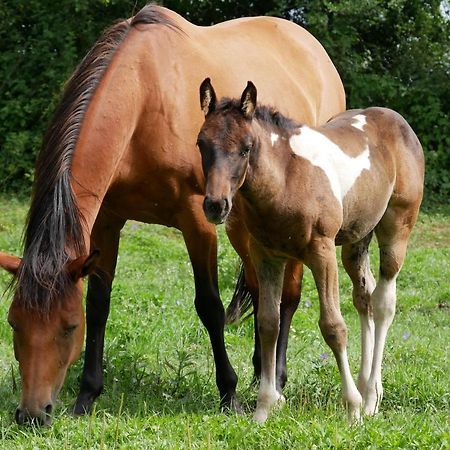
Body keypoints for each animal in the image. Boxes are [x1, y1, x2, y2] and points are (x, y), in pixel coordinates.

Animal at [0, 4, 344, 426]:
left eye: (67, 327)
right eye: (14, 323)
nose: (33, 413)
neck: (144, 100)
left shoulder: (197, 218)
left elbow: (209, 306)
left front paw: (228, 393)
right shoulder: (107, 222)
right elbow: (99, 304)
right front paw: (87, 395)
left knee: (289, 296)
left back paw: (275, 377)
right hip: (242, 223)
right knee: (263, 287)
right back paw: (259, 371)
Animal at [199, 78, 424, 422]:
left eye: (246, 148)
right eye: (201, 144)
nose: (215, 205)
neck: (286, 179)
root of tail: (397, 120)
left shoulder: (322, 252)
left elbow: (333, 326)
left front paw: (352, 409)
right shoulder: (266, 256)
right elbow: (268, 323)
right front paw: (263, 409)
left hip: (396, 230)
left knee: (384, 302)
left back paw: (370, 398)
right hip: (357, 240)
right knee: (364, 297)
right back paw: (366, 385)